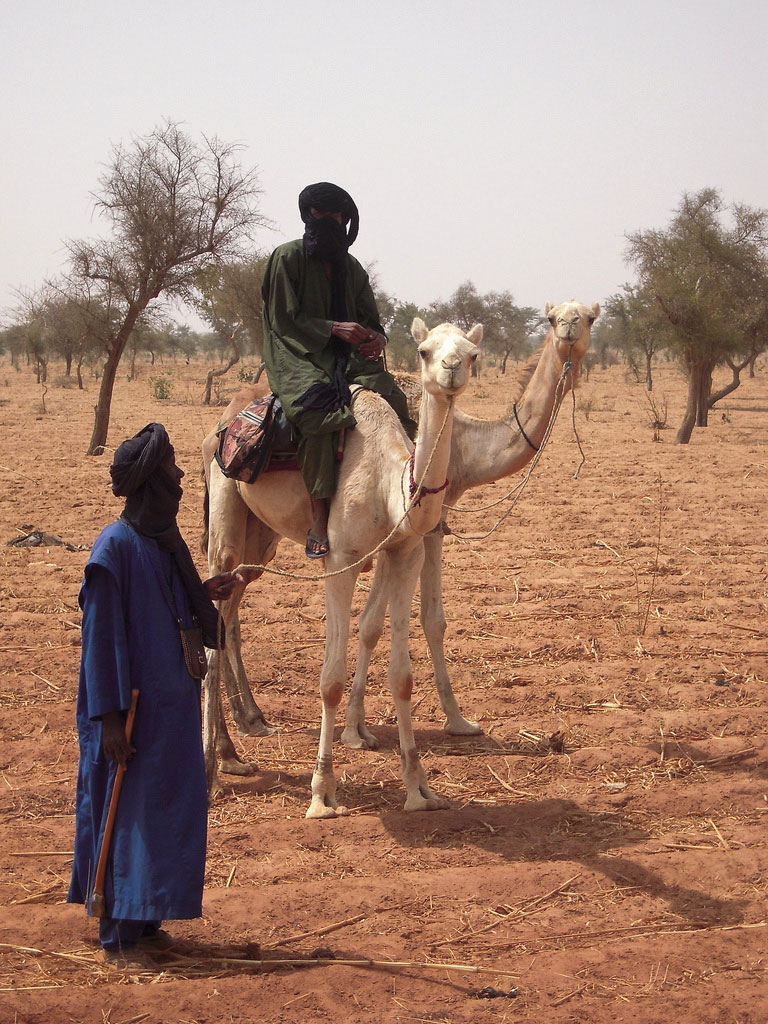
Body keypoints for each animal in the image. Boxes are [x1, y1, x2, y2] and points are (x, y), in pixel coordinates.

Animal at [204, 319, 481, 815]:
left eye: (472, 354)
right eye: (425, 351)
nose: (450, 370)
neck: (389, 483)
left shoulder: (405, 552)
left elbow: (402, 677)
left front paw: (418, 789)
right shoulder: (340, 560)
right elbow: (330, 680)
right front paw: (322, 792)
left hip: (261, 536)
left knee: (229, 608)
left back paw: (235, 748)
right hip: (225, 507)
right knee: (213, 615)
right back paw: (214, 769)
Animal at [342, 299, 602, 749]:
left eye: (588, 317)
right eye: (552, 318)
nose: (568, 327)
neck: (466, 445)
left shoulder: (429, 521)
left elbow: (402, 619)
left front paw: (457, 721)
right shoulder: (418, 525)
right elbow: (412, 620)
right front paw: (358, 729)